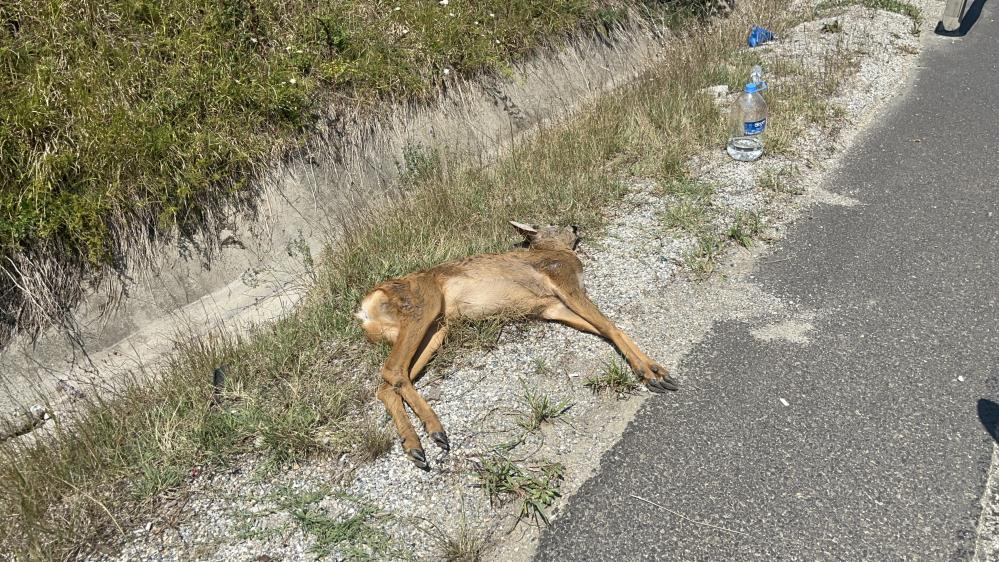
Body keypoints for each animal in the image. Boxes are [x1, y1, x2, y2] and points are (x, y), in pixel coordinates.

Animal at [356, 221, 676, 466]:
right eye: (554, 223)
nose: (575, 225)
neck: (553, 251)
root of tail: (364, 311)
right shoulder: (562, 277)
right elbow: (610, 325)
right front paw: (652, 373)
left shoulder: (551, 307)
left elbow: (605, 329)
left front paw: (655, 370)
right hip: (423, 303)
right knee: (392, 370)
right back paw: (434, 430)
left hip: (436, 329)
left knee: (388, 383)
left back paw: (415, 444)